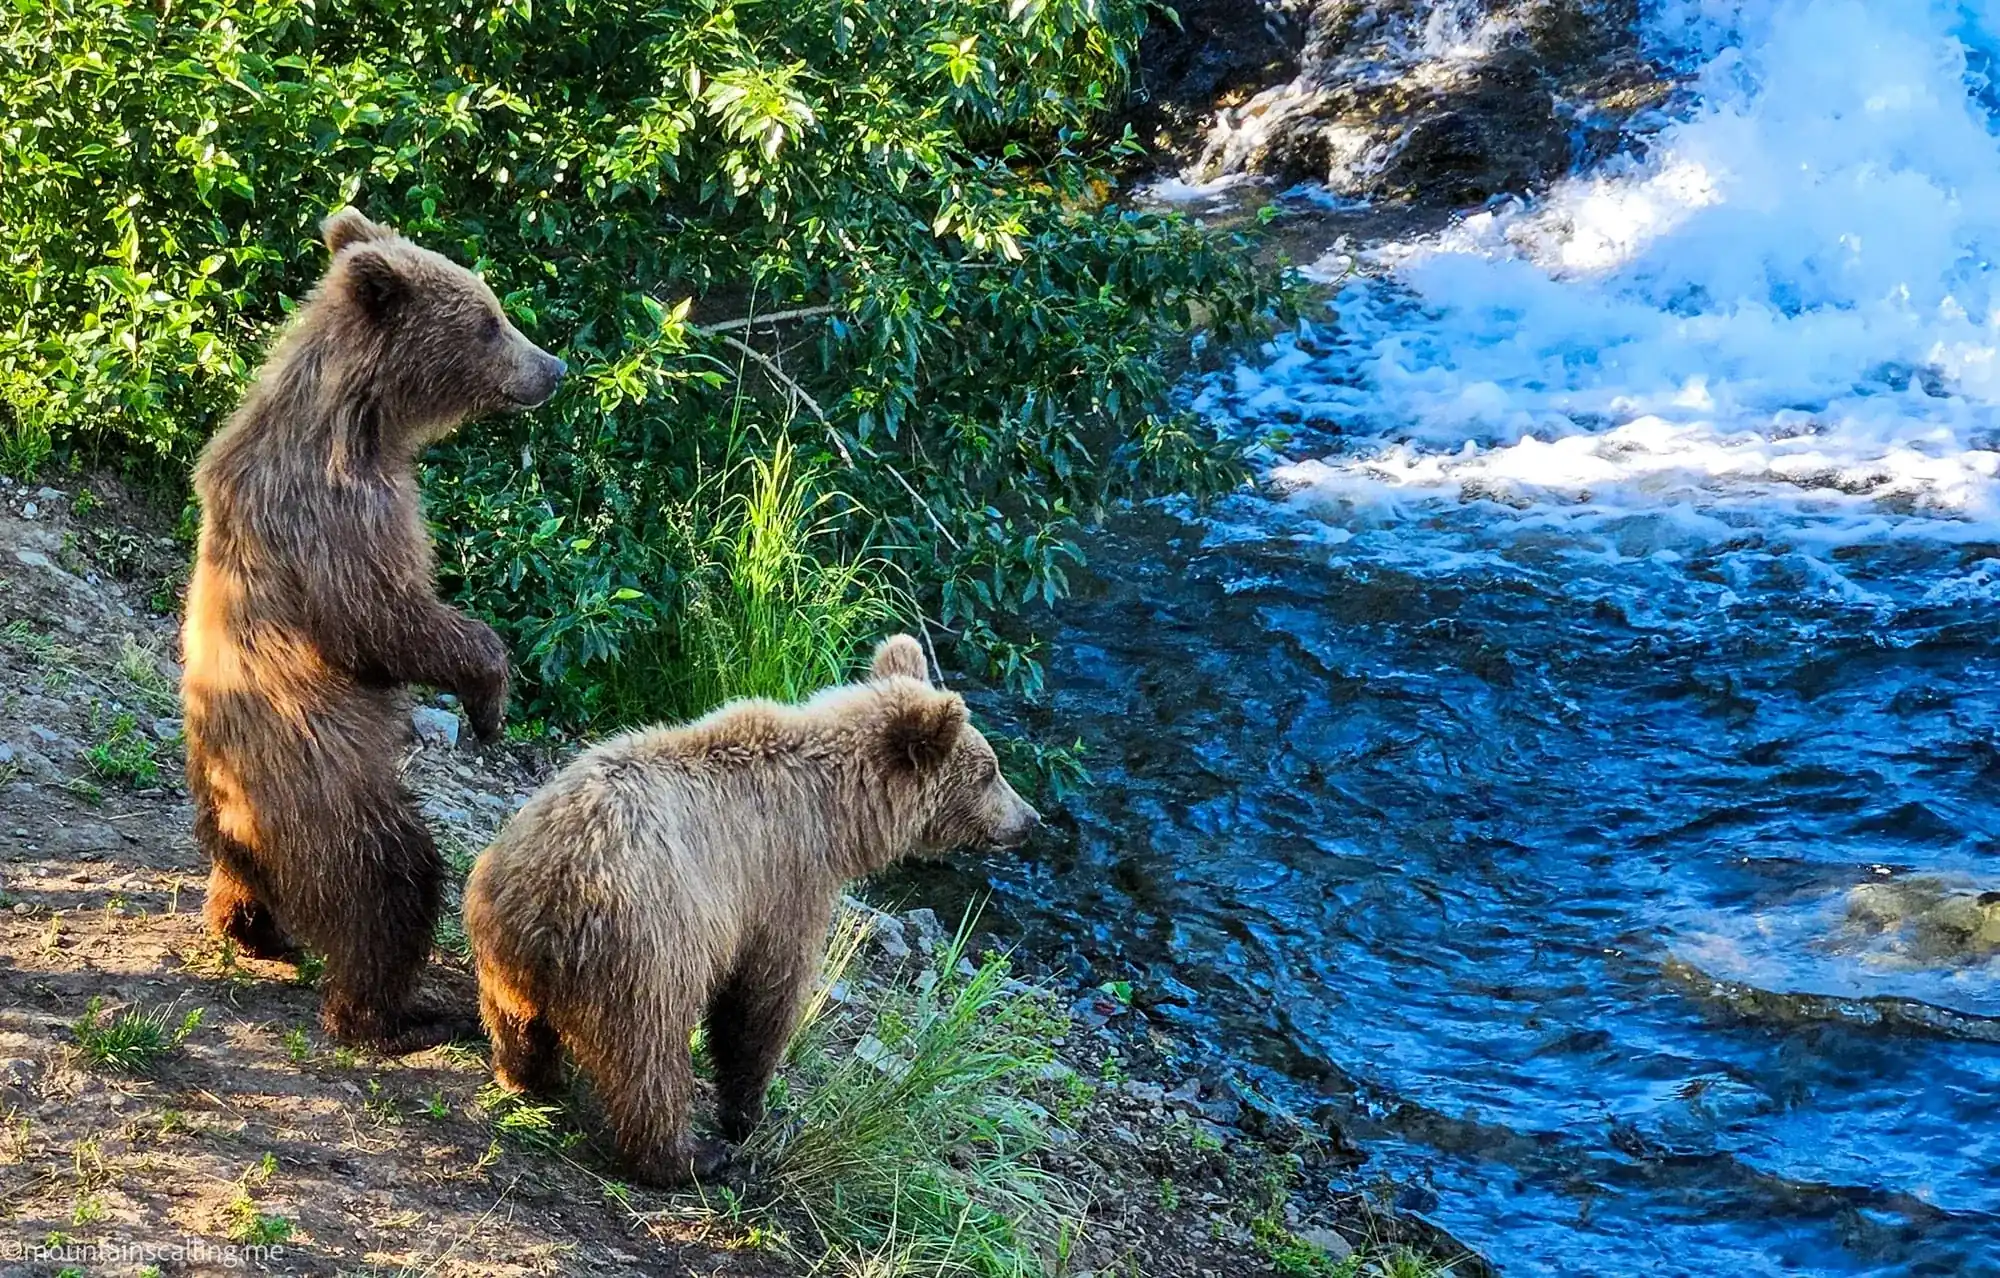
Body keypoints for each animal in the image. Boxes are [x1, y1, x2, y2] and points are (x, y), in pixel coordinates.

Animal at [181, 208, 566, 1051]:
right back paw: (389, 1015)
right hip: (324, 792)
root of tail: (244, 821)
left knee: (240, 877)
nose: (553, 367)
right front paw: (490, 696)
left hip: (227, 807)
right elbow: (383, 618)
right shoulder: (338, 510)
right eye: (490, 321)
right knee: (389, 883)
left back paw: (251, 930)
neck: (365, 420)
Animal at [461, 634, 1041, 1184]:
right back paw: (689, 1156)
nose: (1030, 819)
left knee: (517, 1026)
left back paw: (531, 1077)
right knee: (648, 1059)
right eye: (989, 771)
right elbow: (764, 1000)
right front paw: (752, 1112)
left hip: (500, 940)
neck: (837, 811)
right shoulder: (784, 881)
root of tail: (552, 894)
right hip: (647, 951)